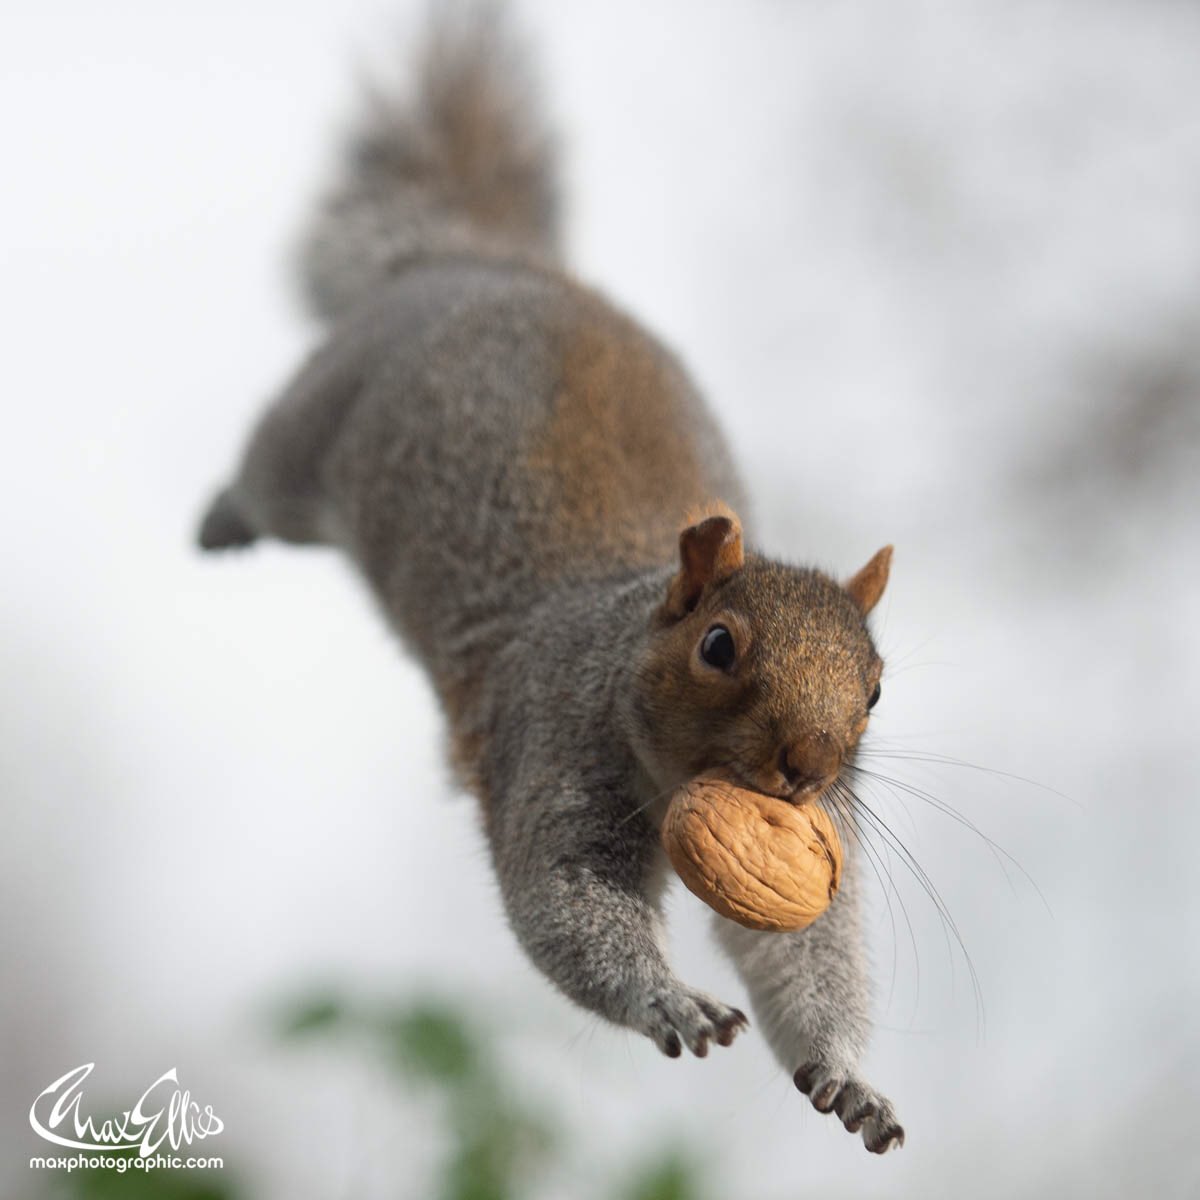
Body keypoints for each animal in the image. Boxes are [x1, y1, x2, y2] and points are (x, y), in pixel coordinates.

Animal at [198, 6, 904, 1154]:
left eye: (878, 689)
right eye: (718, 647)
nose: (807, 766)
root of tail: (476, 260)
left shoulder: (812, 857)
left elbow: (808, 951)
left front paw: (850, 1079)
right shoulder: (554, 741)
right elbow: (561, 902)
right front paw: (671, 1000)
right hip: (311, 436)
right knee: (265, 473)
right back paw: (220, 517)